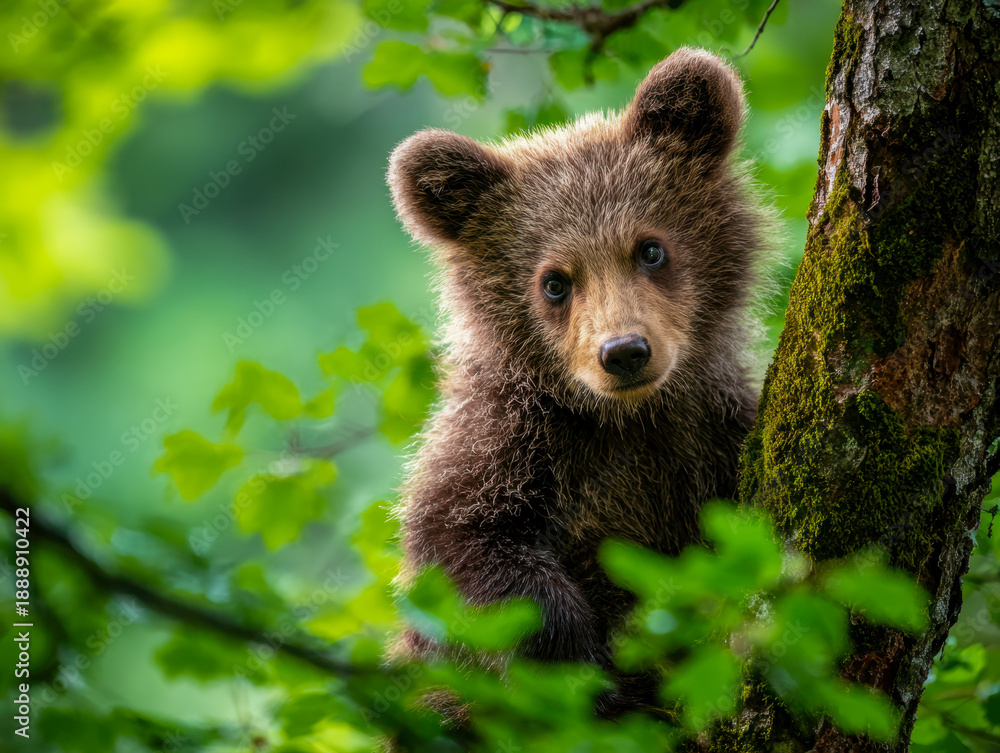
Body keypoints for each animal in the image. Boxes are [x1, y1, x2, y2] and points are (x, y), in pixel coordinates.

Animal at [386, 48, 773, 718]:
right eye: (554, 281)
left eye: (650, 249)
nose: (623, 352)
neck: (627, 420)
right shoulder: (511, 439)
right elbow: (463, 545)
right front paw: (581, 654)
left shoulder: (714, 432)